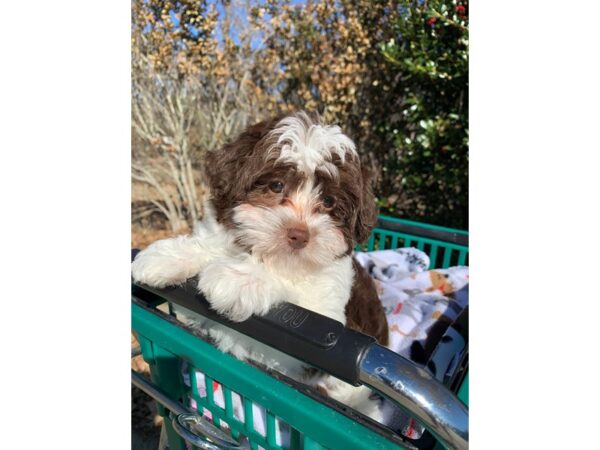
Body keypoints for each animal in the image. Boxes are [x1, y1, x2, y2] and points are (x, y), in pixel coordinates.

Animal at [132, 110, 390, 420]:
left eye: (329, 201)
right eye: (276, 185)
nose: (299, 234)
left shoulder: (325, 313)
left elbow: (294, 288)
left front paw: (239, 278)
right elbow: (208, 247)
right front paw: (166, 256)